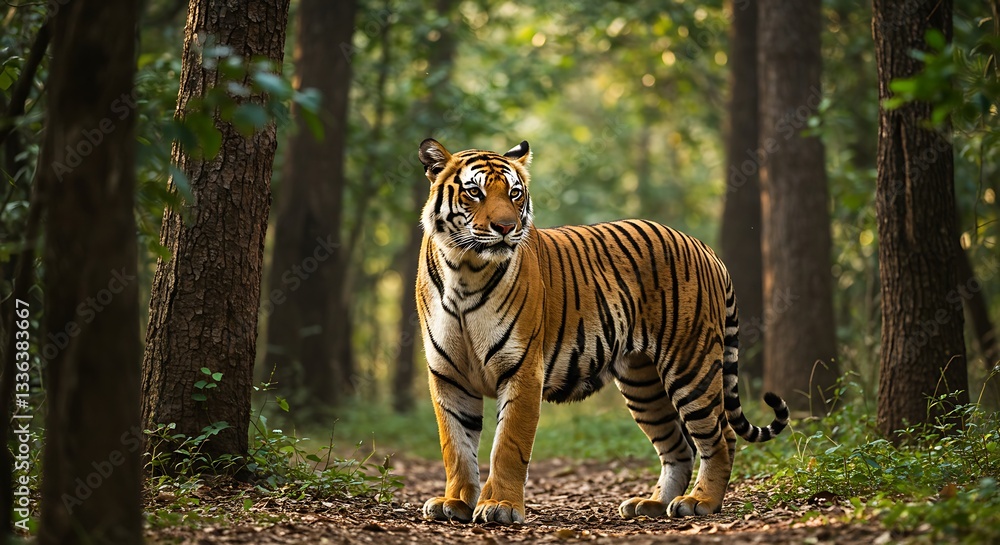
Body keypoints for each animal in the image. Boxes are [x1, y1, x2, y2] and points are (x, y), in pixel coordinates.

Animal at [415, 138, 788, 525]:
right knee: (679, 447)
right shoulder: (449, 375)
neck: (464, 269)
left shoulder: (522, 370)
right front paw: (455, 502)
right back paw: (652, 504)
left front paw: (500, 506)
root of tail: (705, 248)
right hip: (644, 385)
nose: (506, 227)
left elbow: (508, 445)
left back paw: (700, 501)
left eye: (515, 193)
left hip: (691, 366)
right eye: (474, 192)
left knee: (721, 436)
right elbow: (456, 446)